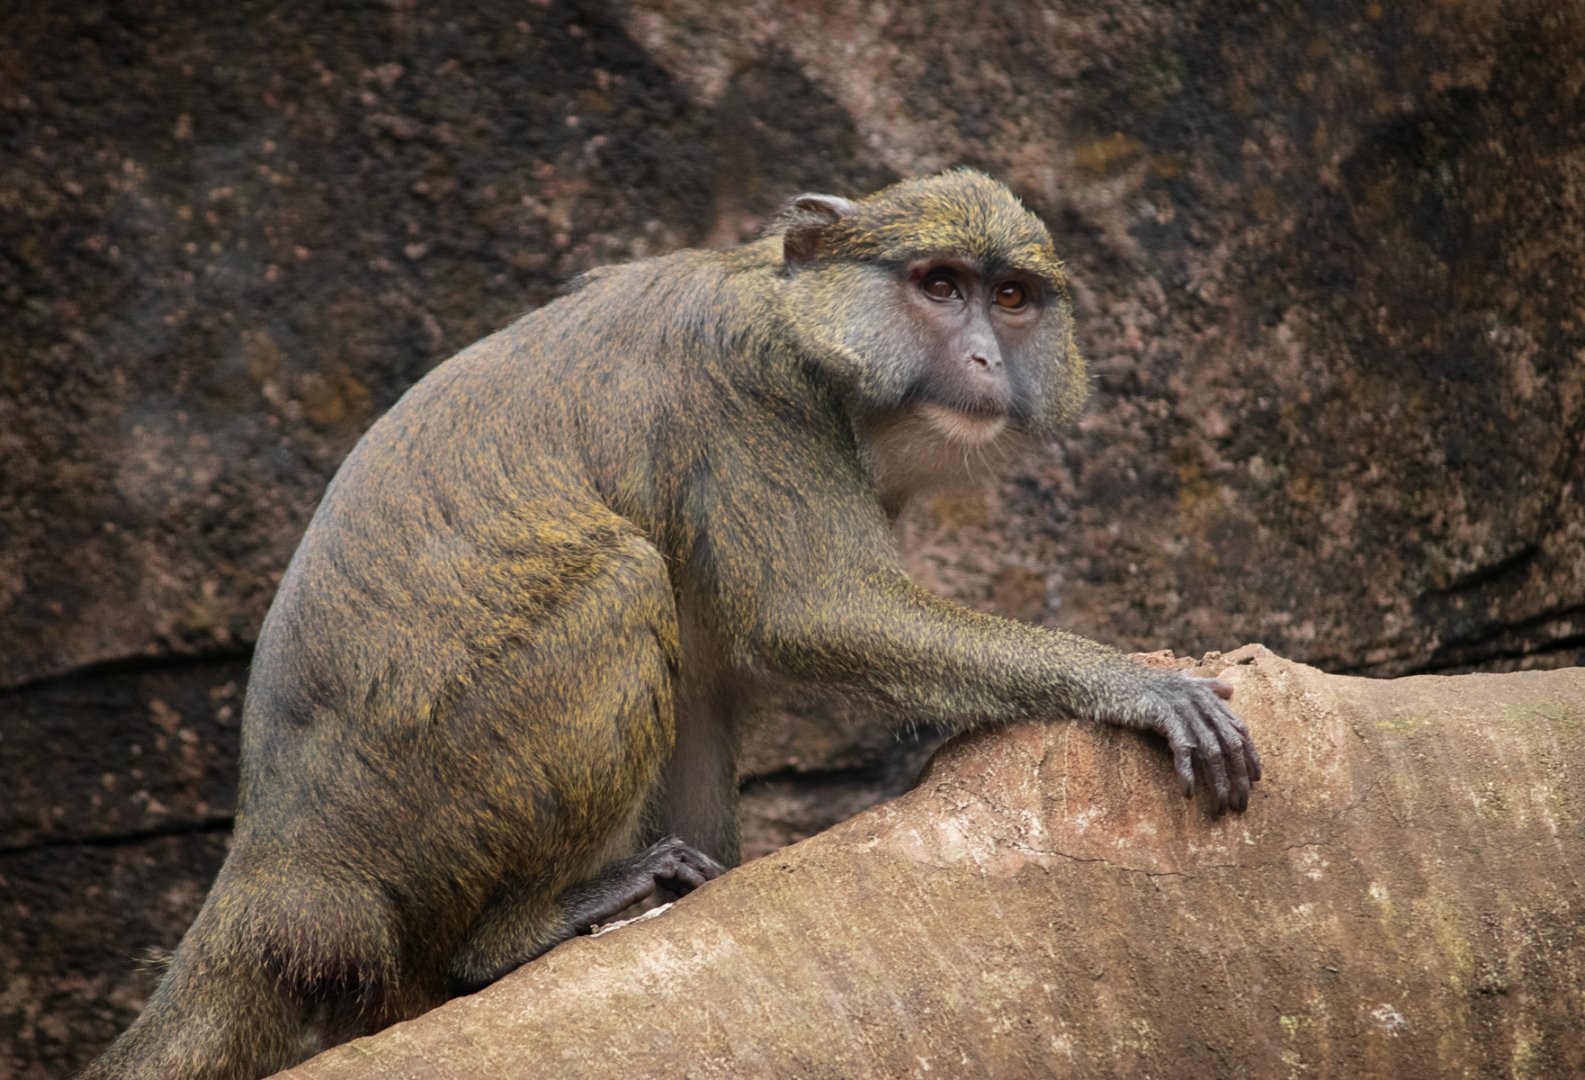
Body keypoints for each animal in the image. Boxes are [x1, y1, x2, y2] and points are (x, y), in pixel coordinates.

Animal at [82, 169, 1261, 1079]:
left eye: (1010, 297)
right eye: (938, 285)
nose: (981, 359)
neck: (798, 316)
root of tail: (277, 861)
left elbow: (716, 684)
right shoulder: (742, 387)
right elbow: (812, 611)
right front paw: (1133, 684)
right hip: (414, 807)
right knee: (621, 581)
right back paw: (512, 937)